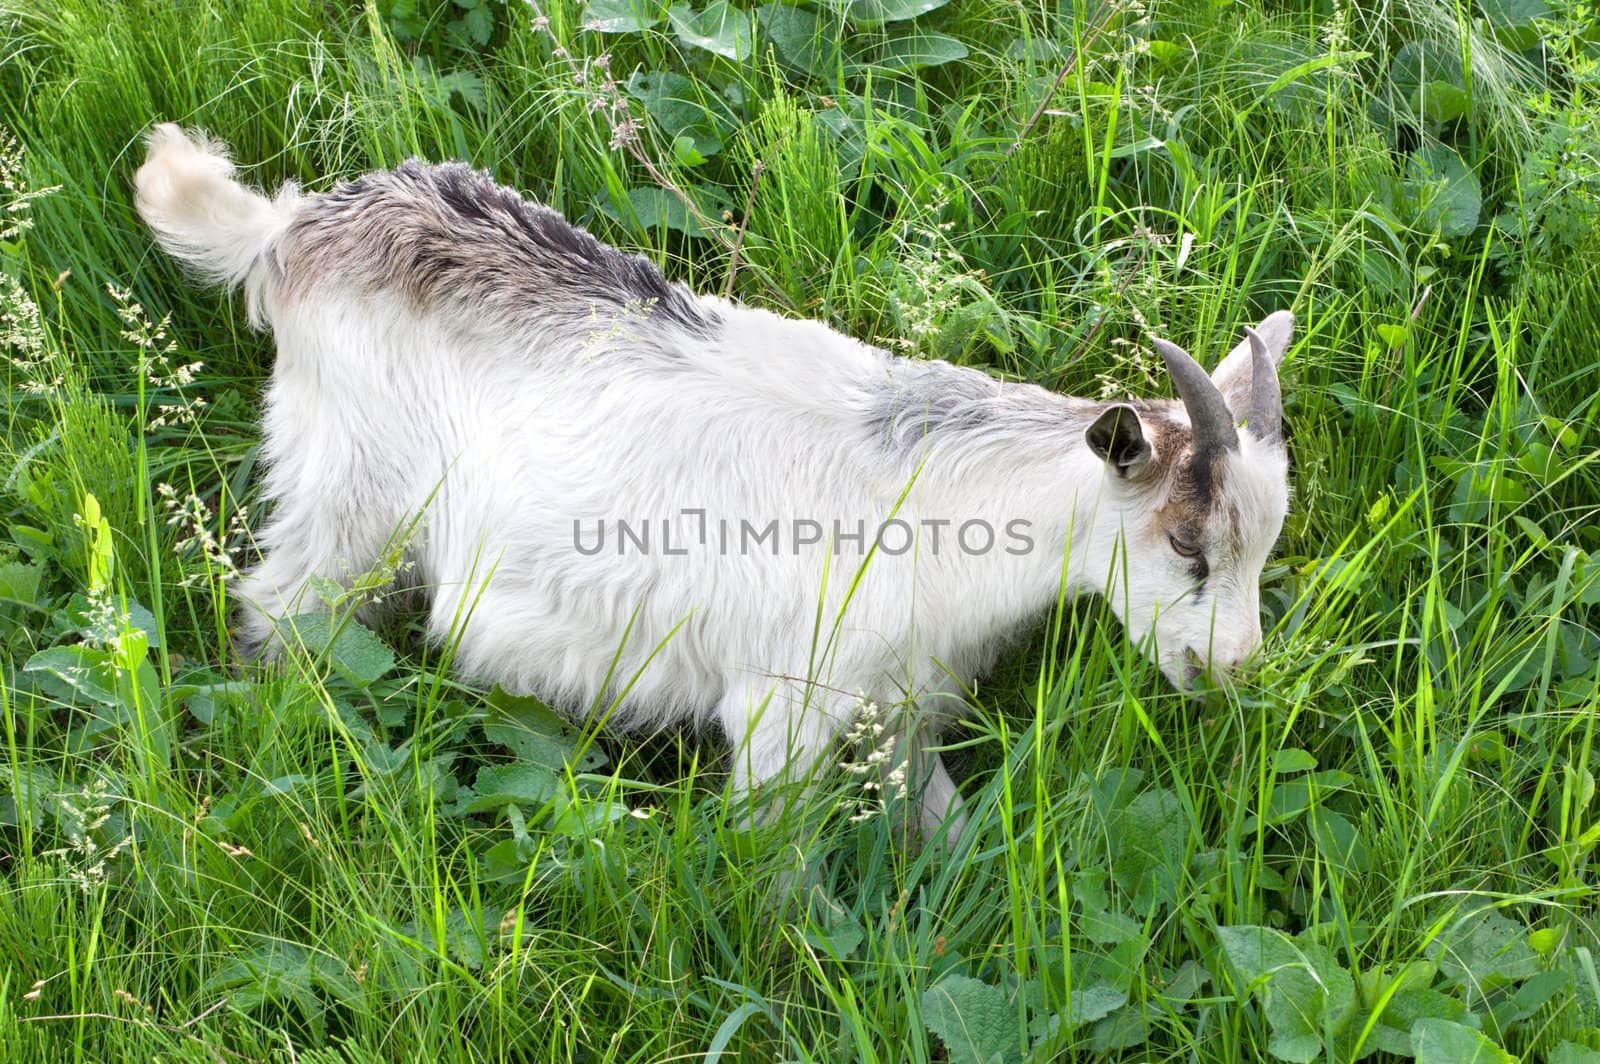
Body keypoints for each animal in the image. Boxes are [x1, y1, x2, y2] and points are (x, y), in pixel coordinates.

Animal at [131, 126, 1292, 838]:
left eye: (1263, 548)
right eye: (1187, 544)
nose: (1230, 672)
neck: (943, 505)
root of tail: (294, 230)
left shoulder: (899, 710)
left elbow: (947, 836)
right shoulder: (782, 711)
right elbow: (773, 872)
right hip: (350, 502)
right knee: (278, 608)